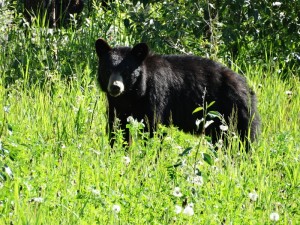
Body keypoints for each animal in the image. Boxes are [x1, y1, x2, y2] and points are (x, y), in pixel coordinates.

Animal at [95, 38, 258, 148]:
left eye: (126, 70)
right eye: (108, 69)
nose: (115, 87)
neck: (133, 94)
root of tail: (245, 86)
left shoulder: (156, 96)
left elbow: (153, 127)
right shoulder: (116, 104)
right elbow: (117, 126)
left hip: (234, 112)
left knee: (243, 139)